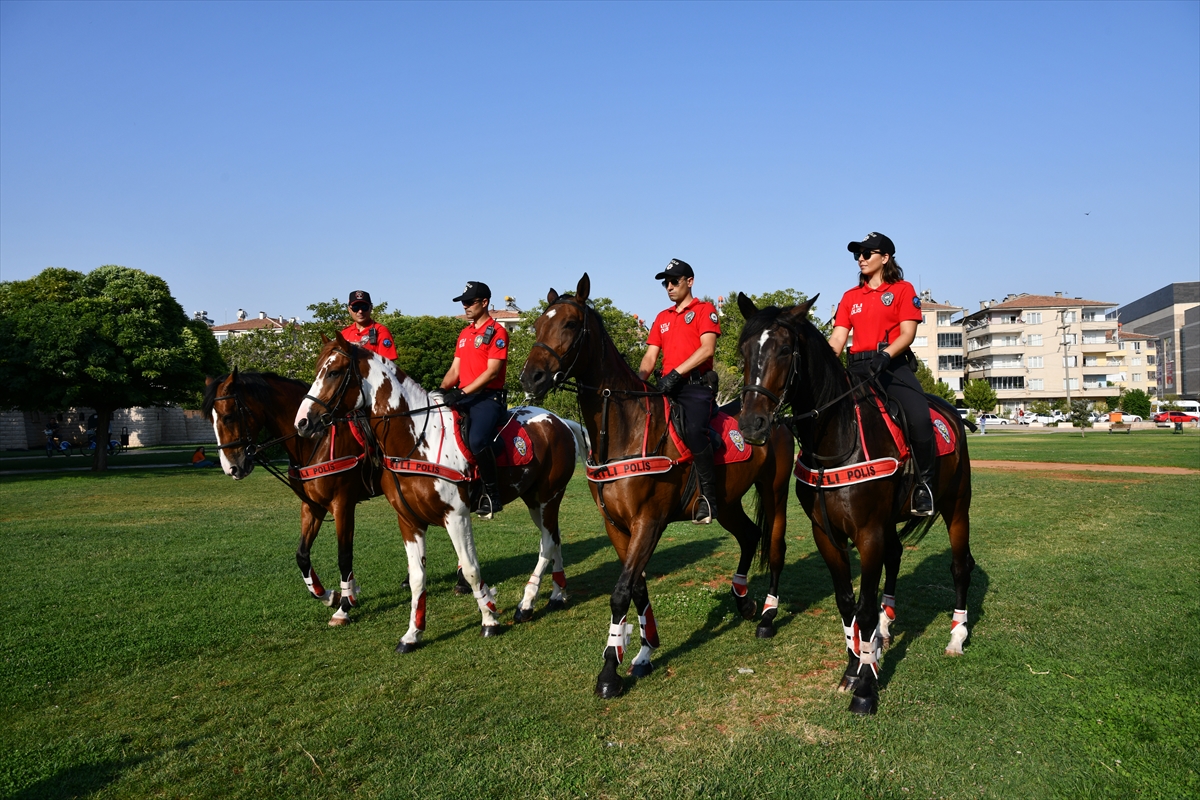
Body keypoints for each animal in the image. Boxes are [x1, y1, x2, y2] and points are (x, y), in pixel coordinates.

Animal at [202, 371, 374, 628]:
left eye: (229, 416)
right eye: (210, 420)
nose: (231, 468)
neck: (314, 441)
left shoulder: (343, 505)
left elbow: (344, 557)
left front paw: (344, 606)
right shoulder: (312, 507)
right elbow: (302, 556)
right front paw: (327, 595)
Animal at [297, 331, 583, 652]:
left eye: (334, 372)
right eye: (317, 370)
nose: (303, 422)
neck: (416, 440)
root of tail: (559, 421)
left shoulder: (456, 517)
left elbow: (470, 568)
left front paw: (489, 619)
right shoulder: (408, 522)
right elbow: (417, 578)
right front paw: (412, 633)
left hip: (548, 497)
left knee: (547, 543)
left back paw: (527, 603)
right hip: (534, 500)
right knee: (554, 538)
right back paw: (557, 594)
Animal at [518, 275, 792, 700]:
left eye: (569, 324)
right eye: (535, 326)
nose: (530, 378)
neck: (625, 428)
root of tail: (773, 415)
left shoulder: (649, 522)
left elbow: (621, 592)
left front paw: (609, 672)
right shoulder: (617, 526)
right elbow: (638, 590)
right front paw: (644, 652)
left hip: (775, 492)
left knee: (774, 545)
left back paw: (767, 614)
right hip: (727, 502)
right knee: (749, 536)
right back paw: (743, 601)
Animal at [729, 292, 974, 714]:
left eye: (784, 349)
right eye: (745, 350)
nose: (751, 425)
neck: (836, 442)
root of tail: (951, 414)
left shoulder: (868, 533)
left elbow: (864, 605)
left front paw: (866, 685)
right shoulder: (827, 534)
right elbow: (847, 602)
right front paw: (854, 664)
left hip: (956, 506)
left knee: (960, 567)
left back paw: (956, 636)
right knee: (896, 557)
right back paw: (885, 630)